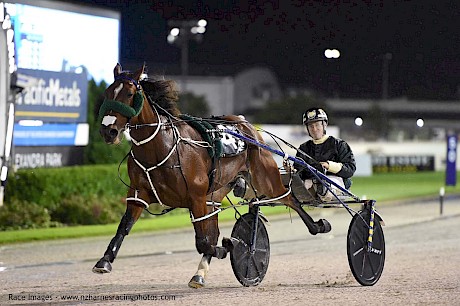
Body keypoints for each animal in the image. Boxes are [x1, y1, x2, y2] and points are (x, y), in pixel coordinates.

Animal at [93, 63, 330, 288]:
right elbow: (124, 227)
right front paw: (104, 261)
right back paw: (199, 274)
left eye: (129, 93)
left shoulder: (196, 197)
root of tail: (246, 125)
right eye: (107, 92)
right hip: (216, 192)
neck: (161, 146)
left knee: (290, 198)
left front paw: (229, 246)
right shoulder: (139, 194)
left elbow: (203, 241)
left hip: (265, 179)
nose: (108, 131)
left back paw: (318, 225)